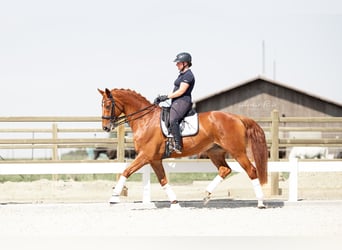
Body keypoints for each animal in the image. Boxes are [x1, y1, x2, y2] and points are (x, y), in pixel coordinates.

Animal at [97, 89, 268, 208]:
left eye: (108, 105)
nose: (105, 127)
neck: (146, 120)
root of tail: (237, 117)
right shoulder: (154, 159)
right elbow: (163, 180)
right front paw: (175, 202)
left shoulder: (146, 156)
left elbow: (126, 171)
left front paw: (113, 198)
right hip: (215, 152)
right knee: (225, 170)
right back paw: (206, 195)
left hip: (237, 152)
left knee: (252, 171)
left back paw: (260, 203)